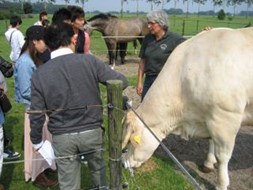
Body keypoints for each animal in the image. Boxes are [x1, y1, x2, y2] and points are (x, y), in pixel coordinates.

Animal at [121, 27, 253, 190]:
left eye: (127, 145)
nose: (122, 164)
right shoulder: (210, 117)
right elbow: (212, 142)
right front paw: (208, 163)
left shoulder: (225, 117)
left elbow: (222, 157)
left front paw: (221, 184)